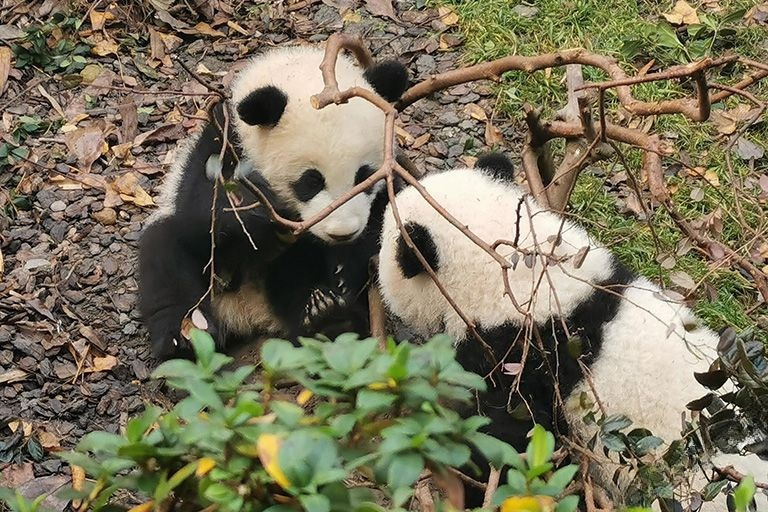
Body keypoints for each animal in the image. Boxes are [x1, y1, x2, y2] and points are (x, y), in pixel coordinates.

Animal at [139, 45, 409, 359]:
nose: (342, 233)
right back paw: (186, 336)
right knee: (166, 258)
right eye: (311, 181)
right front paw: (264, 212)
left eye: (363, 176)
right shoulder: (222, 140)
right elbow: (202, 209)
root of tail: (249, 313)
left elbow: (382, 222)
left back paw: (330, 321)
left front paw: (343, 269)